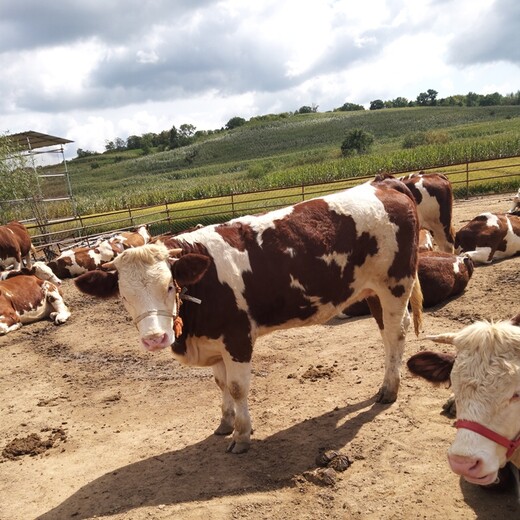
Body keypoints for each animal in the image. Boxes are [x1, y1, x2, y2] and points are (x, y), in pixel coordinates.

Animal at [75, 180, 422, 456]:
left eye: (169, 285)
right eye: (124, 296)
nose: (154, 338)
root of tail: (384, 183)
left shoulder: (237, 337)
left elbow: (237, 387)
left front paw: (241, 435)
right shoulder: (213, 341)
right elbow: (221, 384)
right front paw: (225, 423)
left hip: (395, 285)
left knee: (396, 333)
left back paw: (389, 389)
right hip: (373, 292)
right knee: (386, 335)